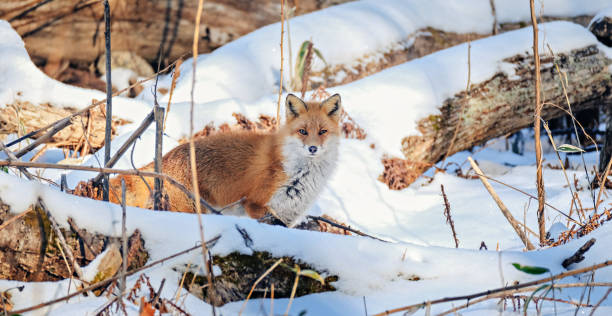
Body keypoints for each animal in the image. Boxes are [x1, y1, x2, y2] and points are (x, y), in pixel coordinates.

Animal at [110, 92, 340, 226]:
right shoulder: (255, 204)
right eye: (303, 131)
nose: (312, 148)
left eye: (322, 131)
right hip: (190, 209)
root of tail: (165, 156)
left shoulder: (287, 216)